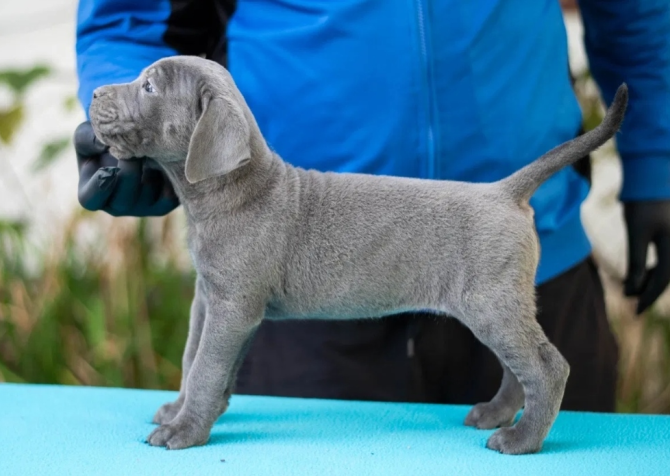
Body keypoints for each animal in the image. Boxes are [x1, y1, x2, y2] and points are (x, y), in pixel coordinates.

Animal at [89, 54, 632, 454]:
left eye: (149, 87)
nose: (93, 93)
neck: (233, 190)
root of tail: (506, 191)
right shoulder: (213, 299)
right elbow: (194, 358)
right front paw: (183, 411)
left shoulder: (232, 306)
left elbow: (204, 366)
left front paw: (184, 431)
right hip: (496, 302)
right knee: (518, 368)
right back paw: (495, 414)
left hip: (491, 302)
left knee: (546, 367)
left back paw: (521, 439)